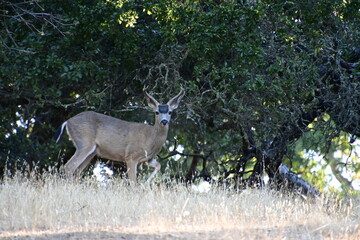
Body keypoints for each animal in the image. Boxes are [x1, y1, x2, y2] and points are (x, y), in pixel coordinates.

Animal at [57, 87, 186, 183]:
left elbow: (158, 165)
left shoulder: (148, 159)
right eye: (157, 112)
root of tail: (67, 122)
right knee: (69, 166)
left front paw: (145, 185)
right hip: (84, 143)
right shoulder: (131, 156)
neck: (150, 138)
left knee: (77, 171)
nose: (164, 121)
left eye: (170, 112)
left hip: (92, 151)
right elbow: (133, 182)